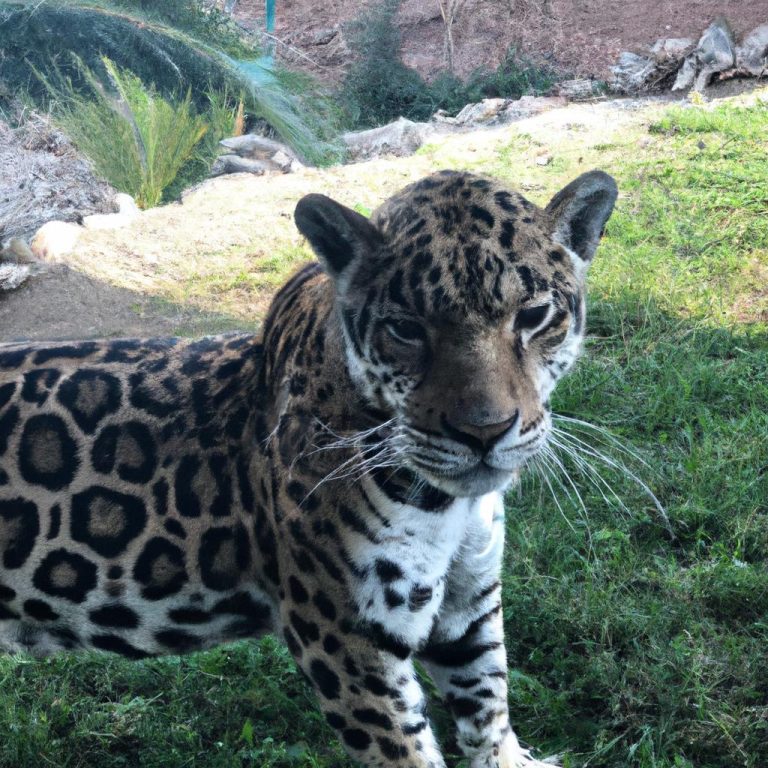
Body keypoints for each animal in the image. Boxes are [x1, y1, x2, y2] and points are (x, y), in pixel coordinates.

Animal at [0, 169, 617, 768]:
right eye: (405, 328)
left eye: (534, 316)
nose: (485, 432)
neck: (451, 505)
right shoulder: (348, 641)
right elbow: (410, 752)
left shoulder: (469, 604)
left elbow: (489, 709)